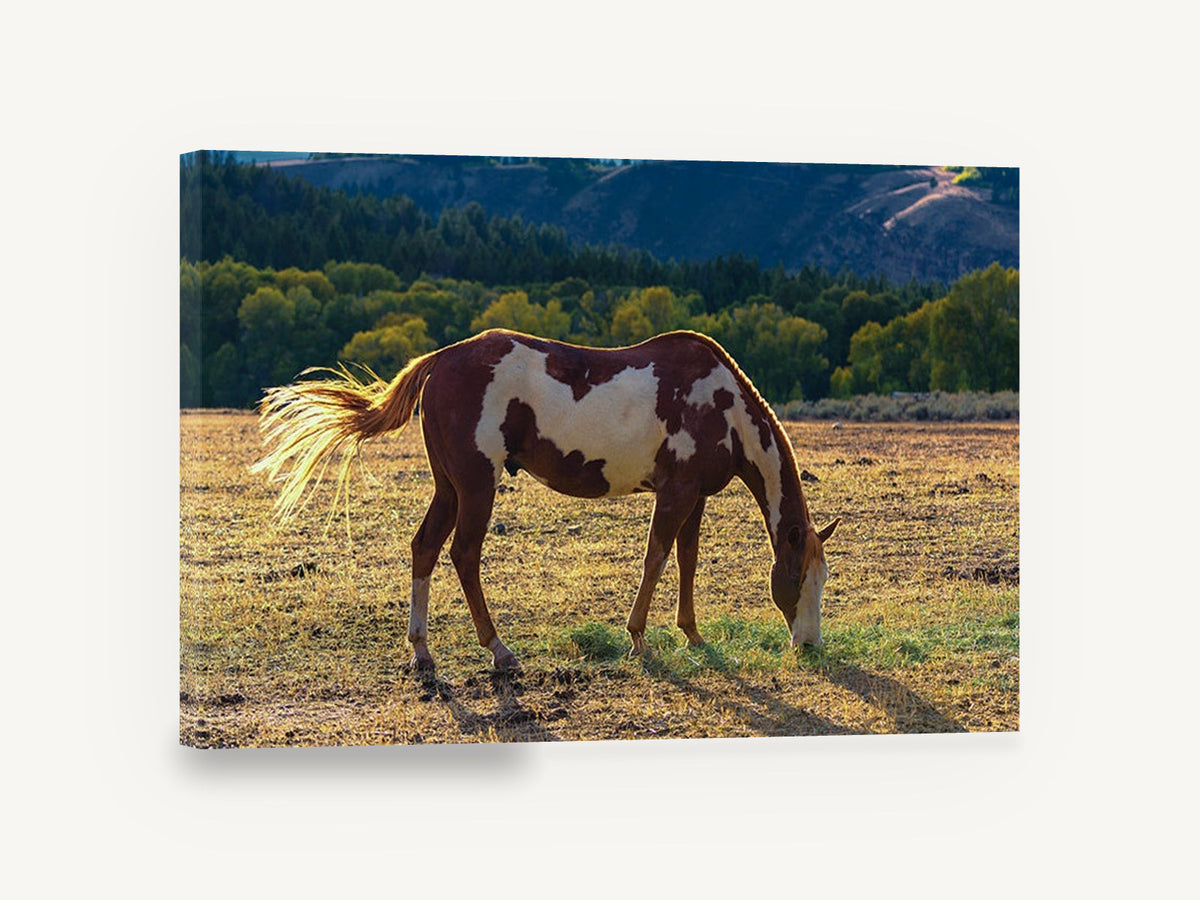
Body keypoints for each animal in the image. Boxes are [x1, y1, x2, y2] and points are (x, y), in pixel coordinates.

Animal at [253, 328, 839, 671]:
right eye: (798, 577)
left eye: (822, 577)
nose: (809, 645)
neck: (722, 404)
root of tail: (442, 359)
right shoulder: (675, 495)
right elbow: (655, 559)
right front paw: (638, 638)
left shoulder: (695, 498)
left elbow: (687, 562)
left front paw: (691, 635)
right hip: (476, 487)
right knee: (463, 555)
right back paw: (498, 650)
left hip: (448, 488)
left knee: (424, 548)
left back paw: (421, 650)